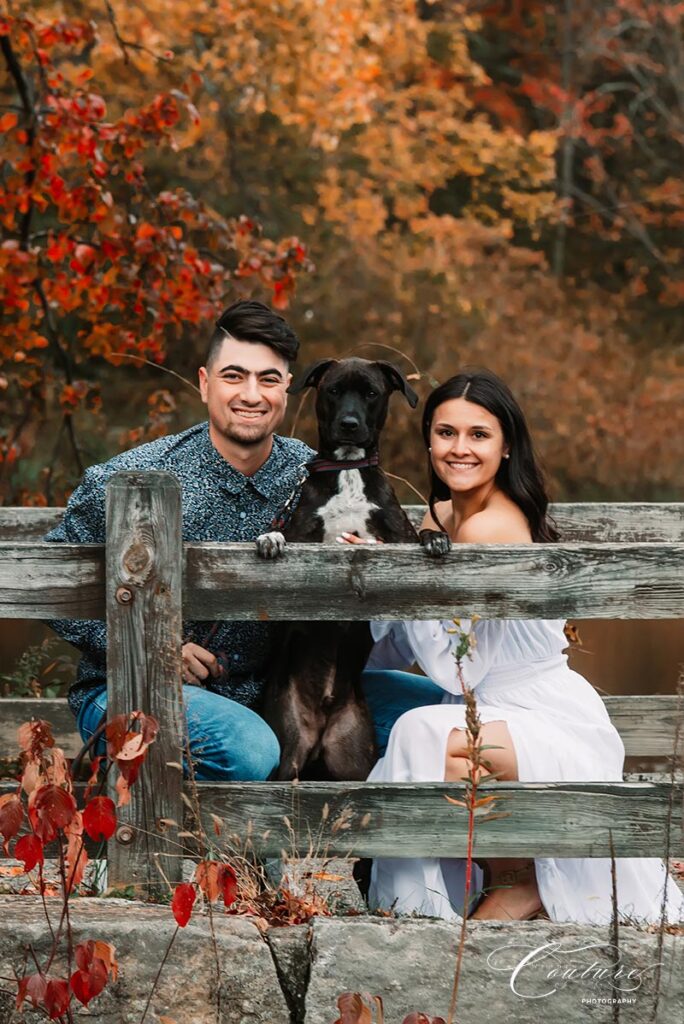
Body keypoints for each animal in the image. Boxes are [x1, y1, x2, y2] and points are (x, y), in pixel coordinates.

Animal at [258, 356, 423, 778]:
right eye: (333, 390)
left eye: (371, 392)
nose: (349, 424)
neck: (349, 470)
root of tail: (321, 726)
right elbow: (283, 538)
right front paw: (270, 538)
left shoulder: (398, 539)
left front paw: (436, 538)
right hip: (288, 750)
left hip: (354, 760)